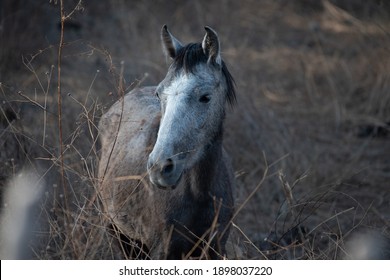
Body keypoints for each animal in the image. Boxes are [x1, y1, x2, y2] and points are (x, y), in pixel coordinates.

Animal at [99, 25, 236, 260]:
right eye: (159, 94)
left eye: (205, 97)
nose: (159, 168)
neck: (199, 193)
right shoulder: (163, 250)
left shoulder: (217, 247)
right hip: (119, 234)